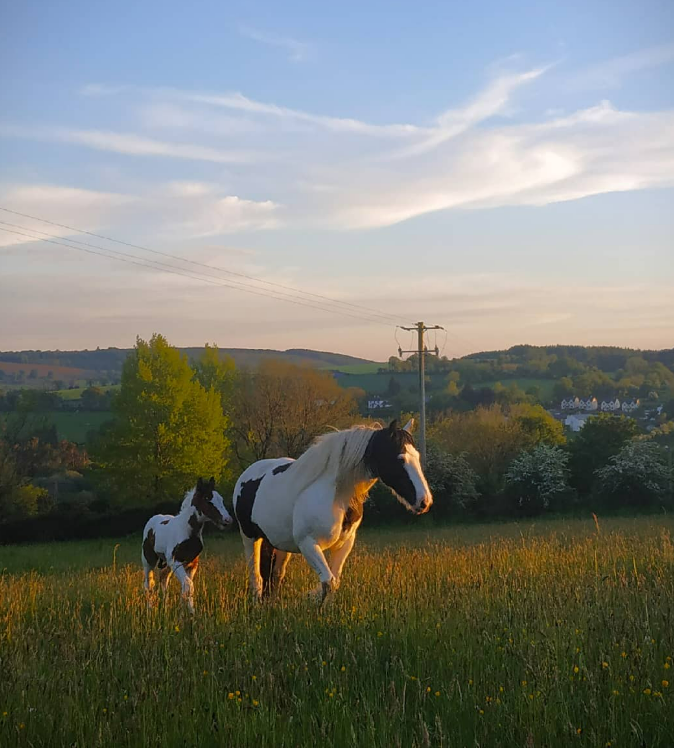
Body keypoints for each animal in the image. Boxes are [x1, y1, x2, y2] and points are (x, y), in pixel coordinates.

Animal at [141, 477, 233, 612]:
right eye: (207, 498)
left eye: (220, 498)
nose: (227, 520)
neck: (187, 531)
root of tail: (153, 519)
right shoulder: (176, 562)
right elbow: (188, 585)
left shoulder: (192, 564)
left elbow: (187, 587)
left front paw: (190, 612)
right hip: (149, 561)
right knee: (149, 584)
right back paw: (150, 610)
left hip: (167, 564)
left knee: (163, 579)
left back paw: (165, 608)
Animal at [232, 419, 432, 603]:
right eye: (400, 459)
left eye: (417, 456)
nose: (425, 501)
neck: (335, 495)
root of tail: (248, 474)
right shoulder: (308, 544)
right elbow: (327, 582)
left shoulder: (344, 544)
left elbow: (334, 582)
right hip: (250, 538)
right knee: (256, 578)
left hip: (279, 544)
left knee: (275, 576)